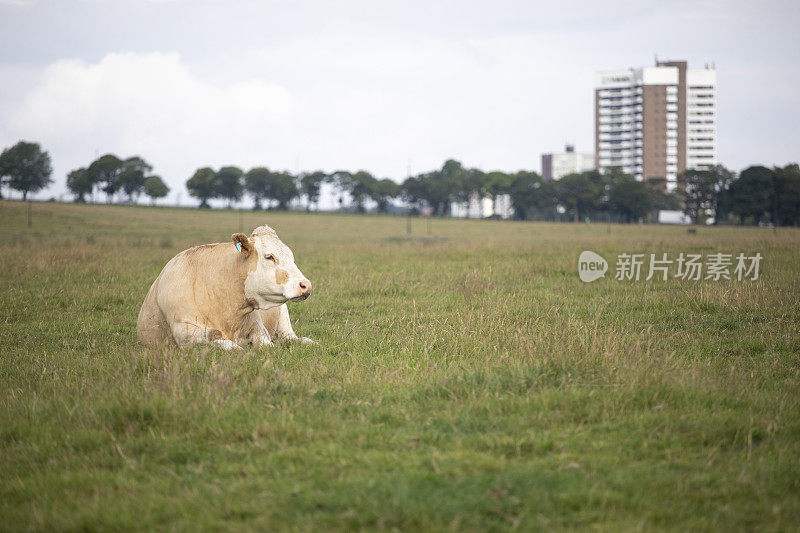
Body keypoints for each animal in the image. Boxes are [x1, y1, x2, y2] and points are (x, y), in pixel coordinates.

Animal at [136, 224, 314, 350]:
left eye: (291, 257)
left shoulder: (258, 327)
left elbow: (266, 344)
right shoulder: (183, 332)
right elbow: (218, 338)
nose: (306, 285)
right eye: (269, 257)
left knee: (292, 338)